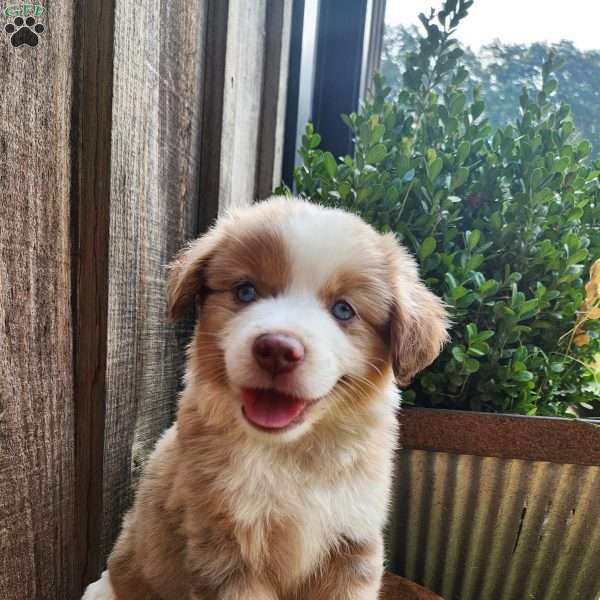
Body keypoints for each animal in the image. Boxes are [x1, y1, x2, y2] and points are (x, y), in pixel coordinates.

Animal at [83, 197, 450, 600]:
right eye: (245, 292)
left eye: (343, 310)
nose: (277, 349)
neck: (292, 456)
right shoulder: (225, 553)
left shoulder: (353, 544)